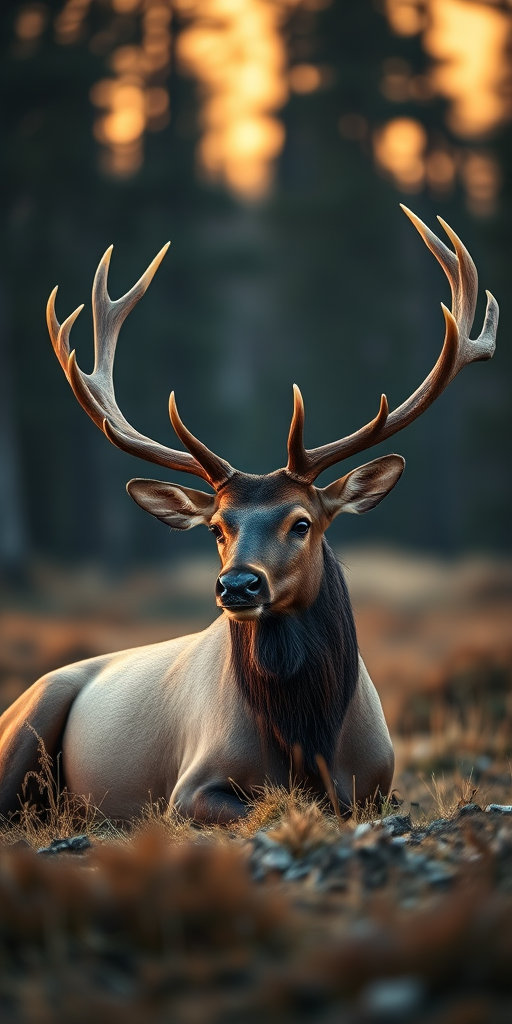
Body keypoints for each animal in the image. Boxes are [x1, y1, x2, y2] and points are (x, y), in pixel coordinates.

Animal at [0, 206, 498, 824]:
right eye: (217, 528)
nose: (237, 584)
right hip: (28, 719)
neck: (310, 740)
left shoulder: (380, 783)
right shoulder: (188, 787)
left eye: (302, 522)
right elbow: (274, 807)